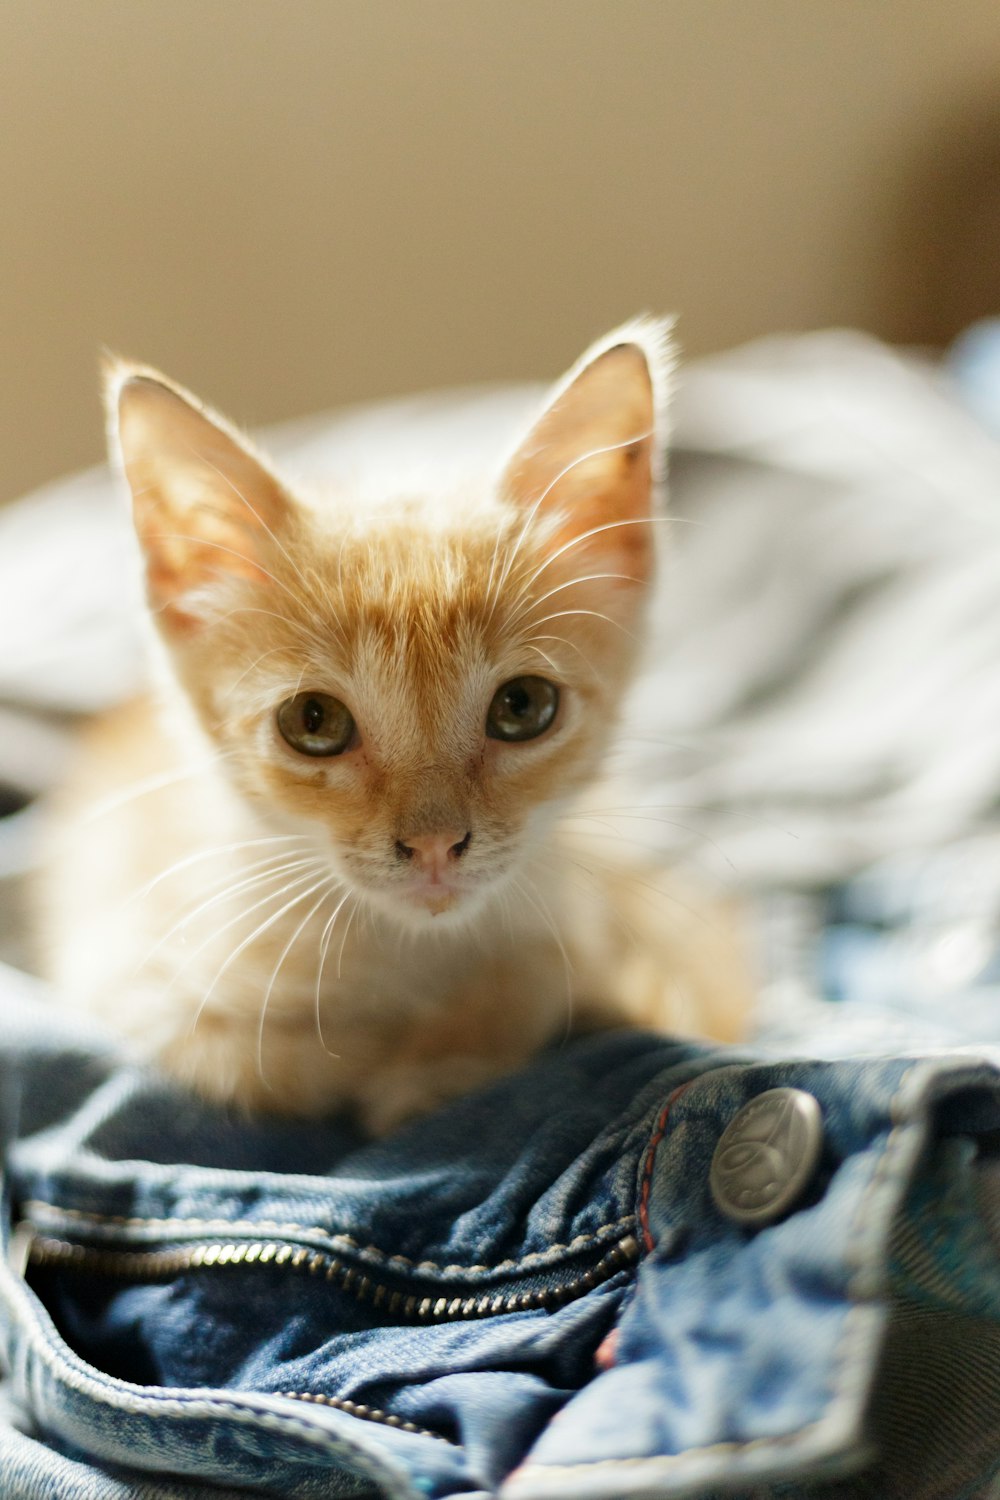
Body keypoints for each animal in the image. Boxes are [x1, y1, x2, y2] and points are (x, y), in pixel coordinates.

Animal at [41, 322, 749, 1128]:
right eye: (313, 720)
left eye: (522, 707)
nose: (436, 845)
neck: (408, 952)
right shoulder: (138, 979)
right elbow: (275, 1061)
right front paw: (402, 1061)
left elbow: (548, 978)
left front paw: (445, 1057)